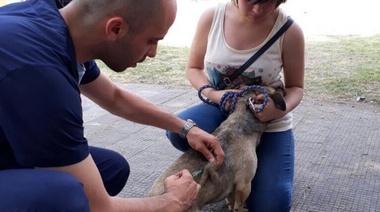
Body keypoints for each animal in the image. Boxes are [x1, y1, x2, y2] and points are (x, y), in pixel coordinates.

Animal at [148, 86, 284, 212]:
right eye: (276, 89)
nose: (282, 87)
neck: (240, 122)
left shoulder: (233, 188)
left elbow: (231, 200)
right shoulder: (244, 185)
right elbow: (238, 206)